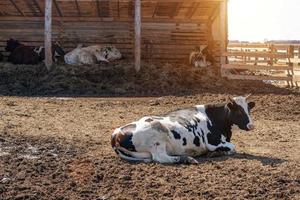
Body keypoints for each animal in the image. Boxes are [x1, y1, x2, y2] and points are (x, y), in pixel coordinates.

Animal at [112, 95, 255, 164]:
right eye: (239, 111)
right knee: (160, 158)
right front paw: (215, 153)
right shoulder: (213, 142)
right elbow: (233, 148)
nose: (251, 126)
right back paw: (187, 159)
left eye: (248, 109)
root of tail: (116, 133)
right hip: (157, 138)